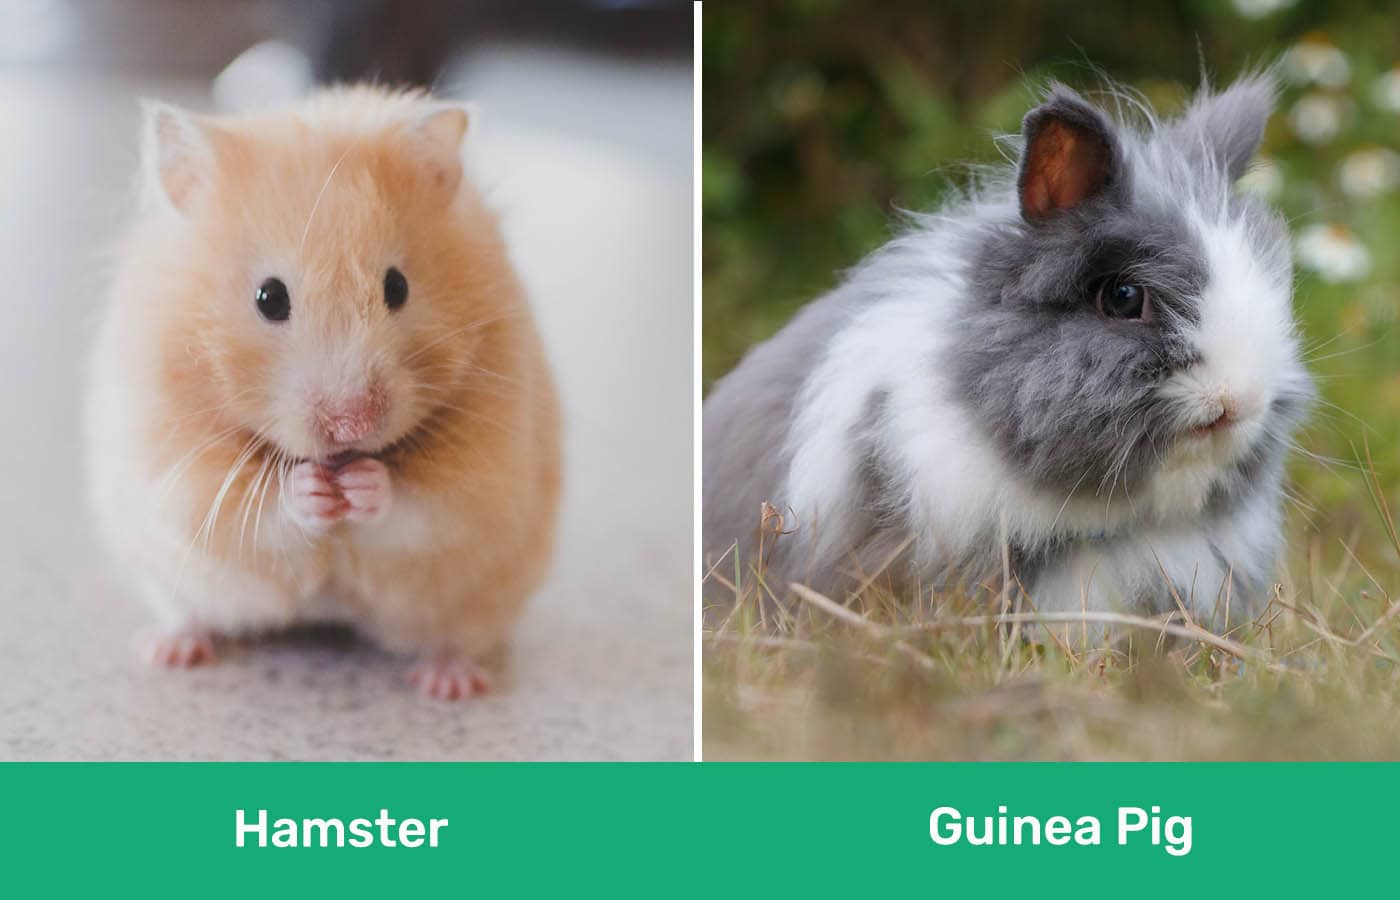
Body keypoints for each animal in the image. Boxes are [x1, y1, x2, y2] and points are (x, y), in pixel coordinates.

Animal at [85, 85, 561, 699]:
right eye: (269, 298)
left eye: (397, 287)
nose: (352, 425)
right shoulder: (176, 466)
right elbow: (254, 509)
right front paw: (312, 490)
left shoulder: (486, 474)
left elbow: (422, 506)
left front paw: (363, 485)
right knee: (187, 612)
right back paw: (168, 651)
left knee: (454, 637)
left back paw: (448, 683)